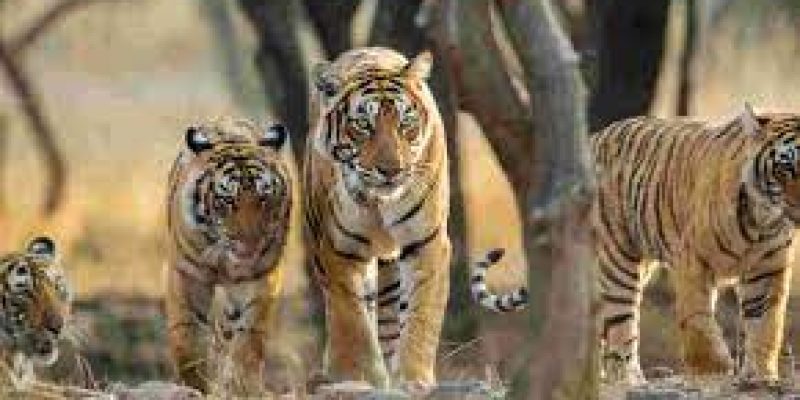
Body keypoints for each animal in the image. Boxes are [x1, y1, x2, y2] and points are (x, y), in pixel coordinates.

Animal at [165, 117, 294, 394]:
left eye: (264, 198)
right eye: (227, 200)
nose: (250, 244)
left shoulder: (260, 278)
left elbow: (249, 337)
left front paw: (245, 386)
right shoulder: (187, 274)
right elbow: (187, 335)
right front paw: (195, 385)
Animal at [303, 47, 451, 389]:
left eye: (406, 122)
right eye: (362, 125)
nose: (392, 170)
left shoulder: (427, 242)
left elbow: (421, 314)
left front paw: (413, 378)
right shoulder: (339, 250)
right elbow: (351, 319)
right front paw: (355, 376)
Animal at [472, 105, 800, 385]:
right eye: (784, 169)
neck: (761, 220)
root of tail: (592, 139)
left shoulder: (768, 270)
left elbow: (766, 326)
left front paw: (760, 375)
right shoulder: (692, 261)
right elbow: (697, 320)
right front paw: (715, 368)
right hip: (617, 261)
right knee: (620, 326)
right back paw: (628, 380)